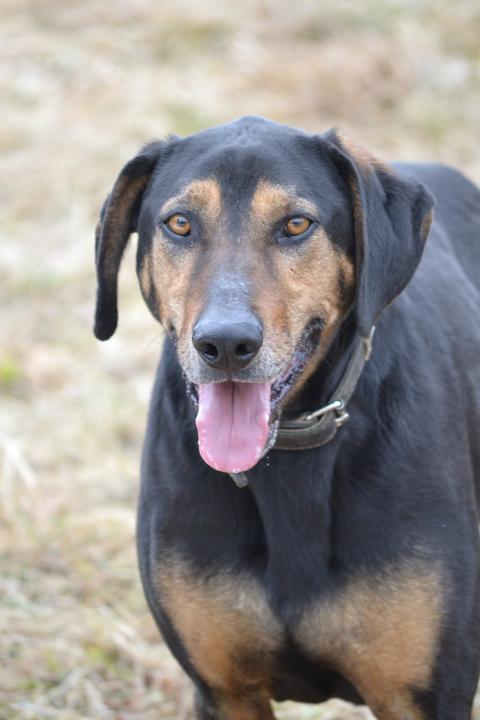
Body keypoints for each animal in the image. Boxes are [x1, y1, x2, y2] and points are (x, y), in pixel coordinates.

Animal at [94, 116, 480, 719]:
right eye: (179, 223)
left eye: (296, 224)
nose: (225, 344)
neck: (288, 457)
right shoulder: (225, 692)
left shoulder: (426, 698)